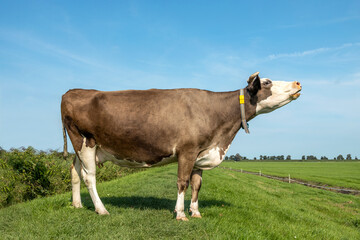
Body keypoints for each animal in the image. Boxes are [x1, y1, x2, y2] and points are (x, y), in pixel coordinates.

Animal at [61, 72, 300, 220]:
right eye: (267, 82)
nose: (297, 83)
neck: (222, 137)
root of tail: (72, 91)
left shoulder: (201, 153)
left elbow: (196, 185)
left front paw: (195, 212)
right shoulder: (187, 150)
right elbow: (183, 182)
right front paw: (181, 214)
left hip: (82, 147)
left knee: (74, 171)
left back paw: (77, 204)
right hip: (85, 142)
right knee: (89, 177)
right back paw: (101, 209)